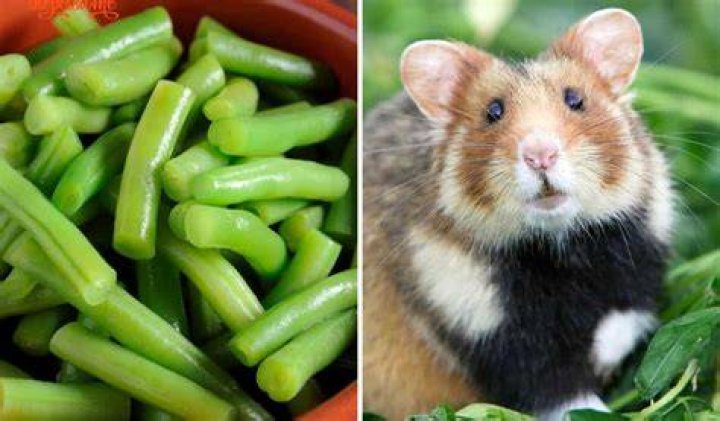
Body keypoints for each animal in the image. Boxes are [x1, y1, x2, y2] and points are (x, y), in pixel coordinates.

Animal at [363, 8, 673, 421]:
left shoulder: (640, 258)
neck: (558, 245)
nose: (540, 155)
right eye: (493, 112)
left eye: (575, 99)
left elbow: (625, 319)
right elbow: (560, 390)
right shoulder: (479, 316)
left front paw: (603, 357)